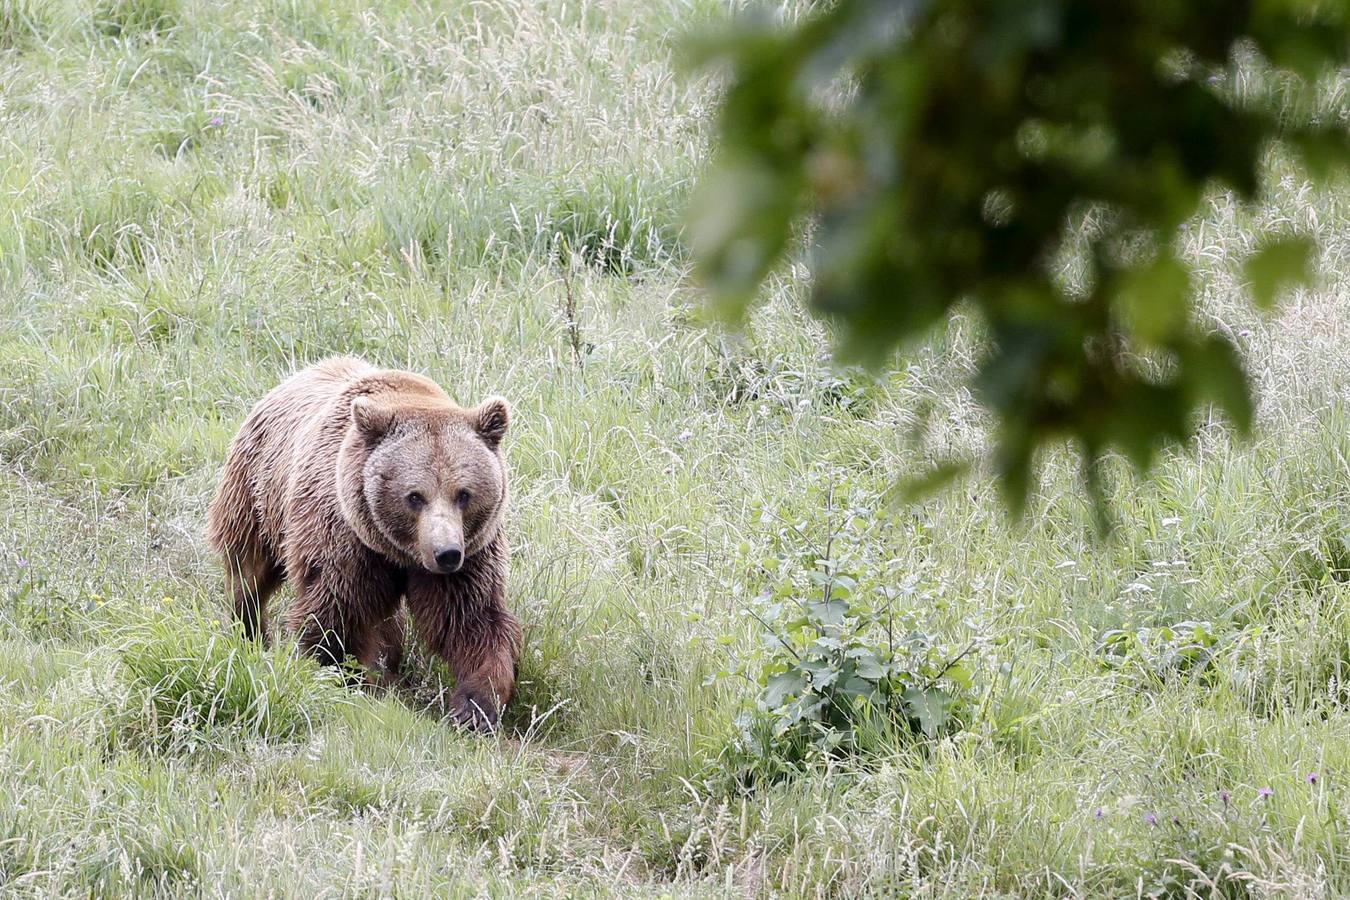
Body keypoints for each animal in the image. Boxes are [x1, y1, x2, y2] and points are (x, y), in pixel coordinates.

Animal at [206, 356, 521, 728]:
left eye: (463, 494)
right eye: (415, 496)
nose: (446, 554)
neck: (399, 551)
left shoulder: (471, 550)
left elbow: (469, 619)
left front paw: (474, 706)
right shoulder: (345, 538)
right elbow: (337, 613)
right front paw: (345, 677)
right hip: (257, 495)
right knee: (248, 574)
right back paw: (250, 633)